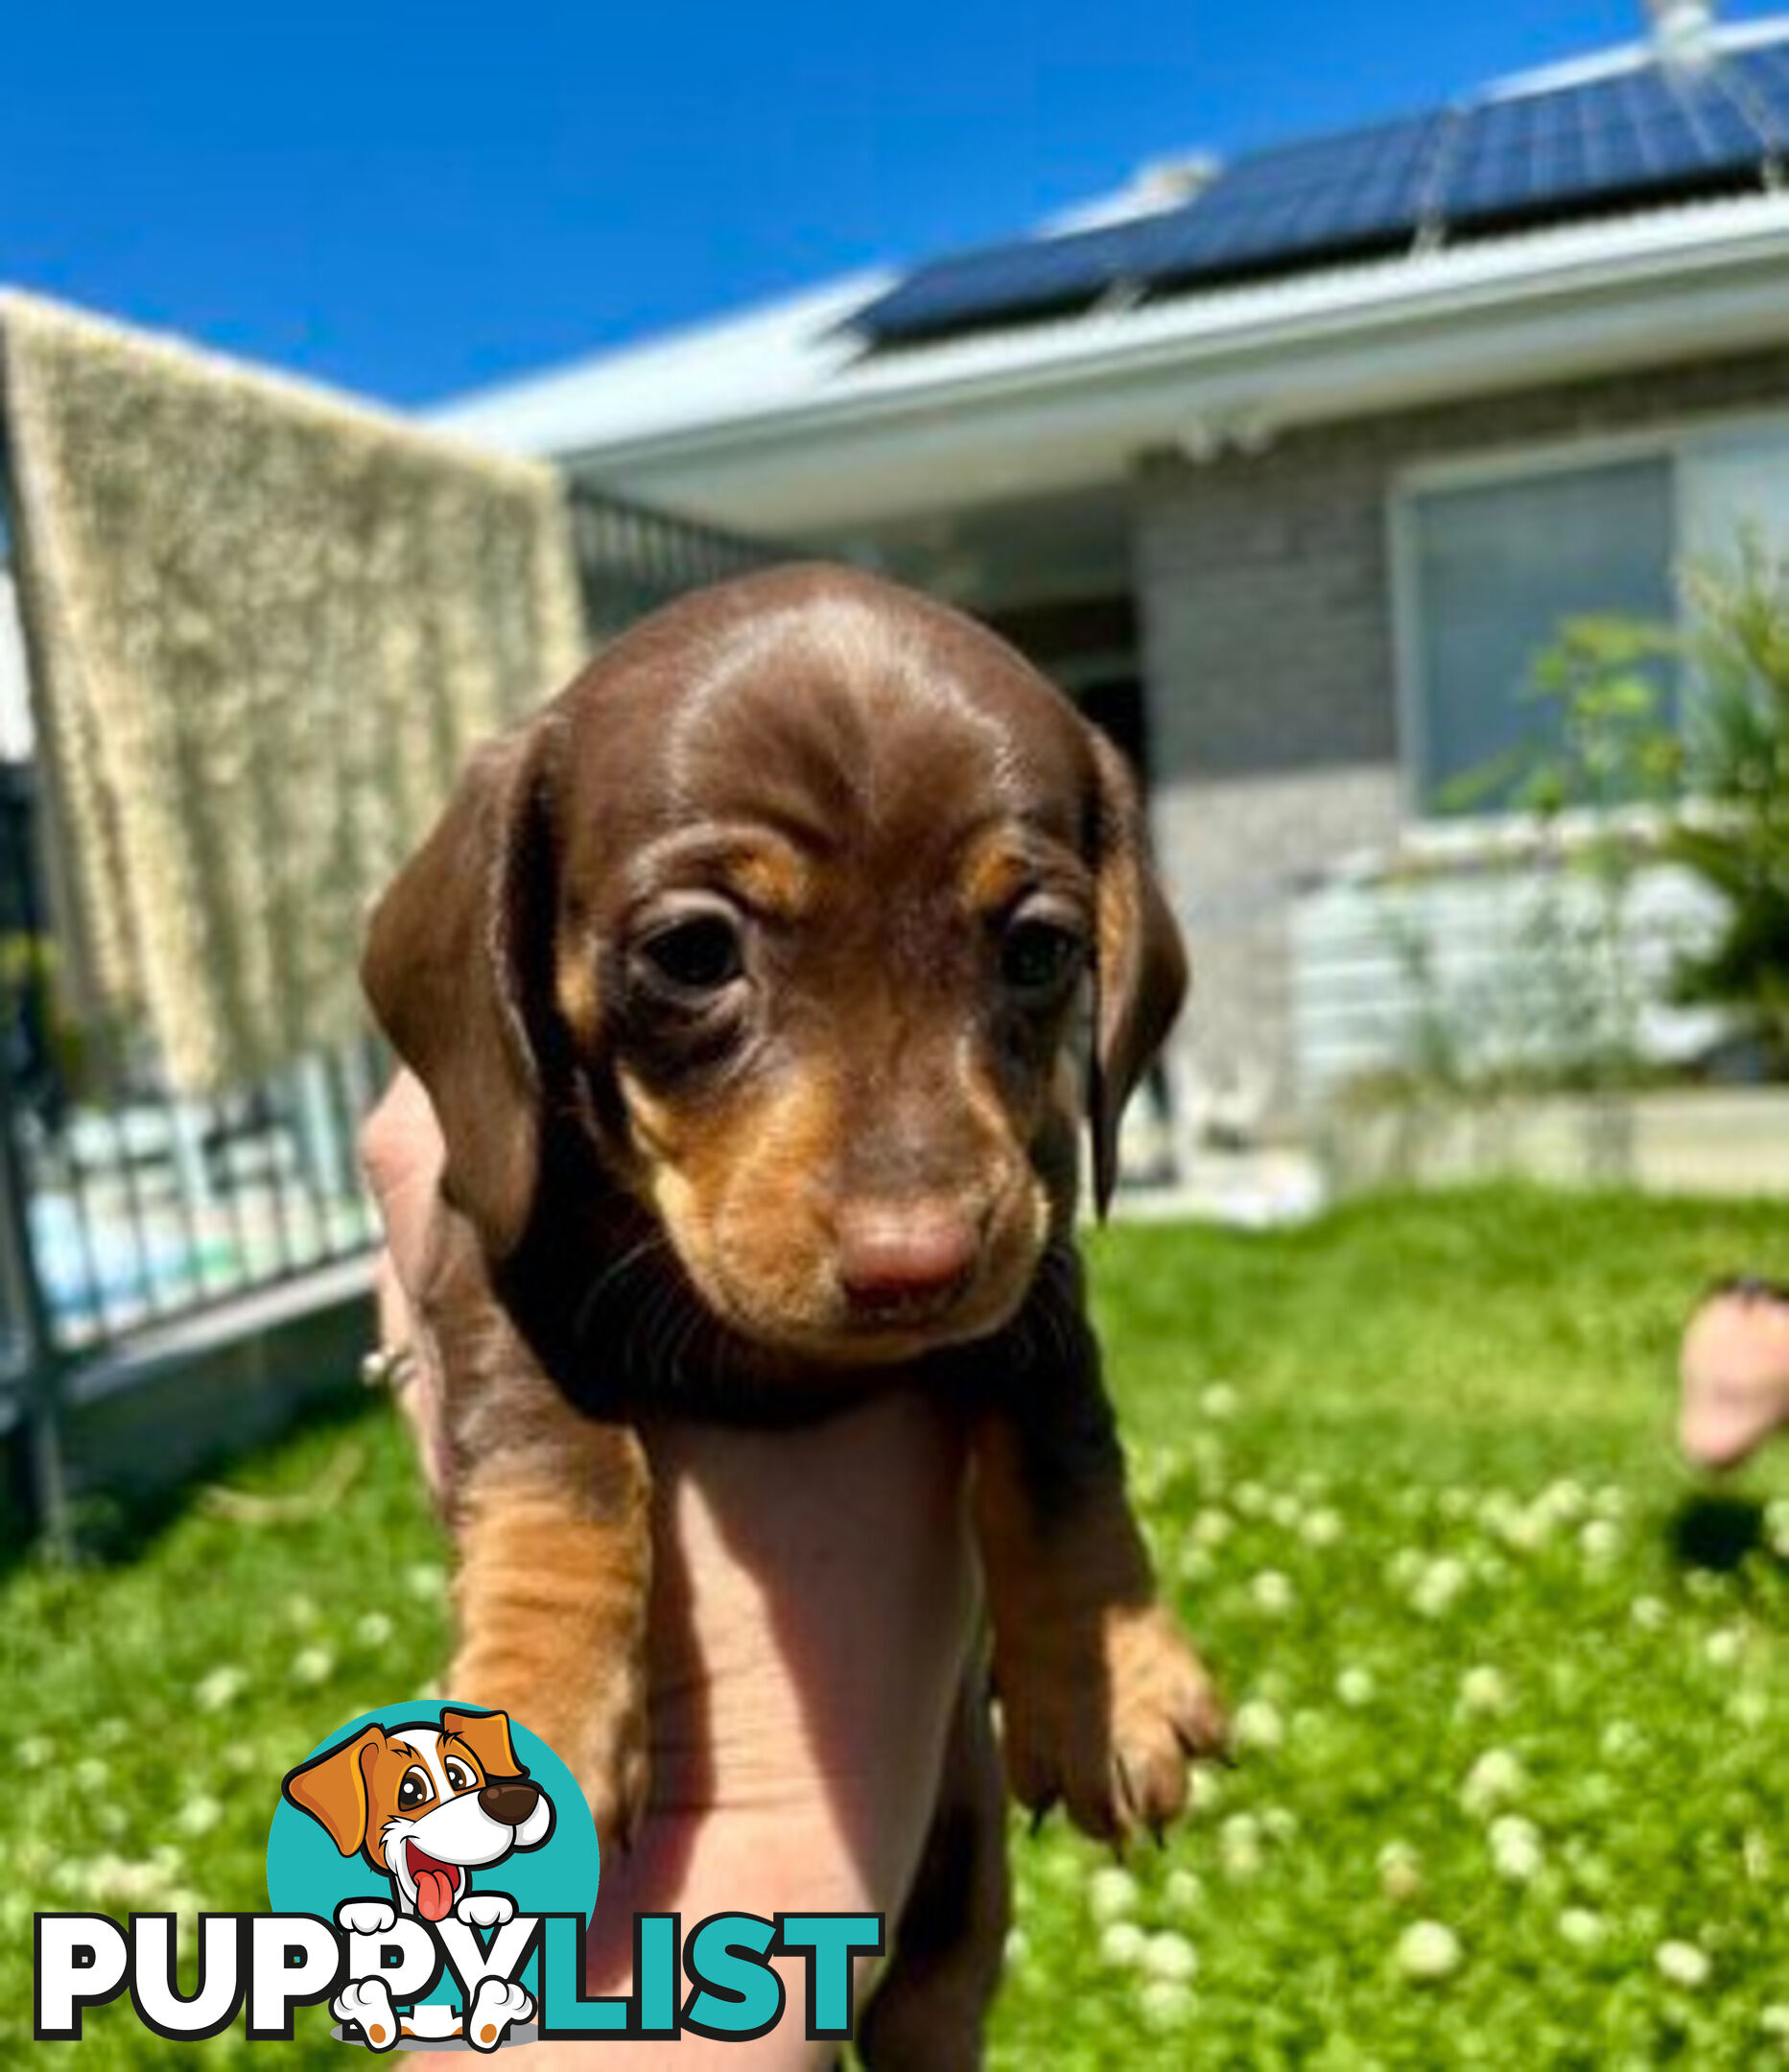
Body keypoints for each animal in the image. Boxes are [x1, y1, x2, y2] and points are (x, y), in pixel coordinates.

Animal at [365, 559, 1227, 2063]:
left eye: (1040, 948)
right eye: (693, 952)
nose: (915, 1267)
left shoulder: (1037, 1254)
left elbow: (1060, 1444)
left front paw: (1107, 1672)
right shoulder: (481, 1250)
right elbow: (559, 1456)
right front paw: (536, 1694)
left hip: (954, 1909)